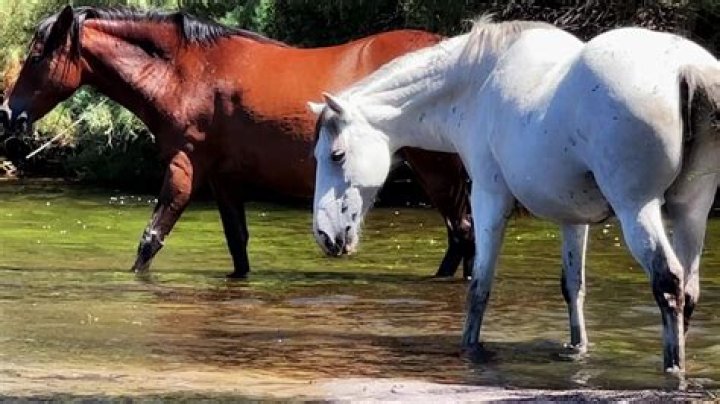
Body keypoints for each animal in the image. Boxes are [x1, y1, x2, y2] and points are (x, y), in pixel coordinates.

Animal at [0, 5, 474, 279]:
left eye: (37, 57)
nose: (8, 113)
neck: (186, 71)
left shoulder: (185, 166)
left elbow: (151, 238)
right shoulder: (223, 177)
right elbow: (237, 244)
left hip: (437, 171)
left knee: (465, 234)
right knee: (461, 237)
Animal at [309, 17, 720, 372]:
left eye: (336, 155)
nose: (326, 234)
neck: (477, 84)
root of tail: (686, 67)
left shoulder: (488, 198)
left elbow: (479, 287)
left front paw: (469, 347)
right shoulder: (574, 219)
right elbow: (573, 288)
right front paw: (577, 349)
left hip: (637, 208)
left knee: (668, 282)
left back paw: (673, 368)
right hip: (690, 213)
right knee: (688, 290)